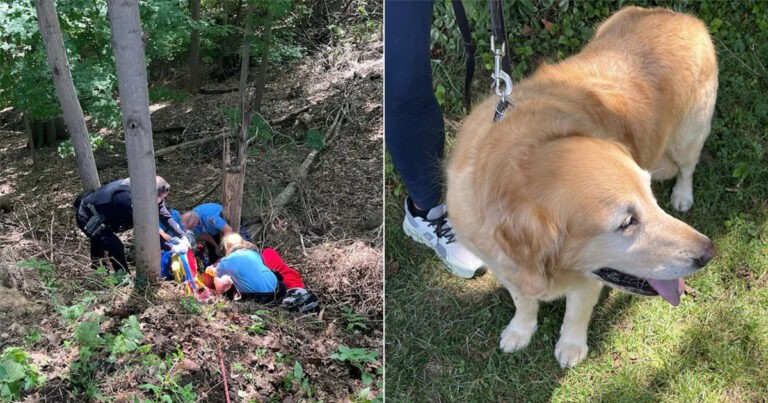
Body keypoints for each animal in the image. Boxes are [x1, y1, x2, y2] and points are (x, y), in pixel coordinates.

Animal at [448, 6, 716, 370]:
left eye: (650, 198)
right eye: (627, 223)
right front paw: (520, 330)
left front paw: (571, 346)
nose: (709, 253)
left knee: (687, 167)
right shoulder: (503, 265)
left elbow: (575, 313)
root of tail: (677, 14)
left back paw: (682, 195)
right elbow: (523, 301)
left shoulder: (589, 279)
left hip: (690, 134)